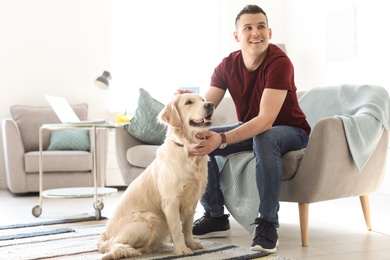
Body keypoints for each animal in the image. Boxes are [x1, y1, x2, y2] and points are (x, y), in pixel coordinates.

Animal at [96, 93, 213, 260]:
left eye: (203, 100)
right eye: (189, 102)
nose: (210, 105)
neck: (187, 149)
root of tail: (105, 234)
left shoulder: (192, 199)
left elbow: (188, 226)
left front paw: (191, 243)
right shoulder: (171, 200)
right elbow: (177, 228)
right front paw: (182, 249)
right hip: (149, 219)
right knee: (115, 244)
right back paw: (135, 250)